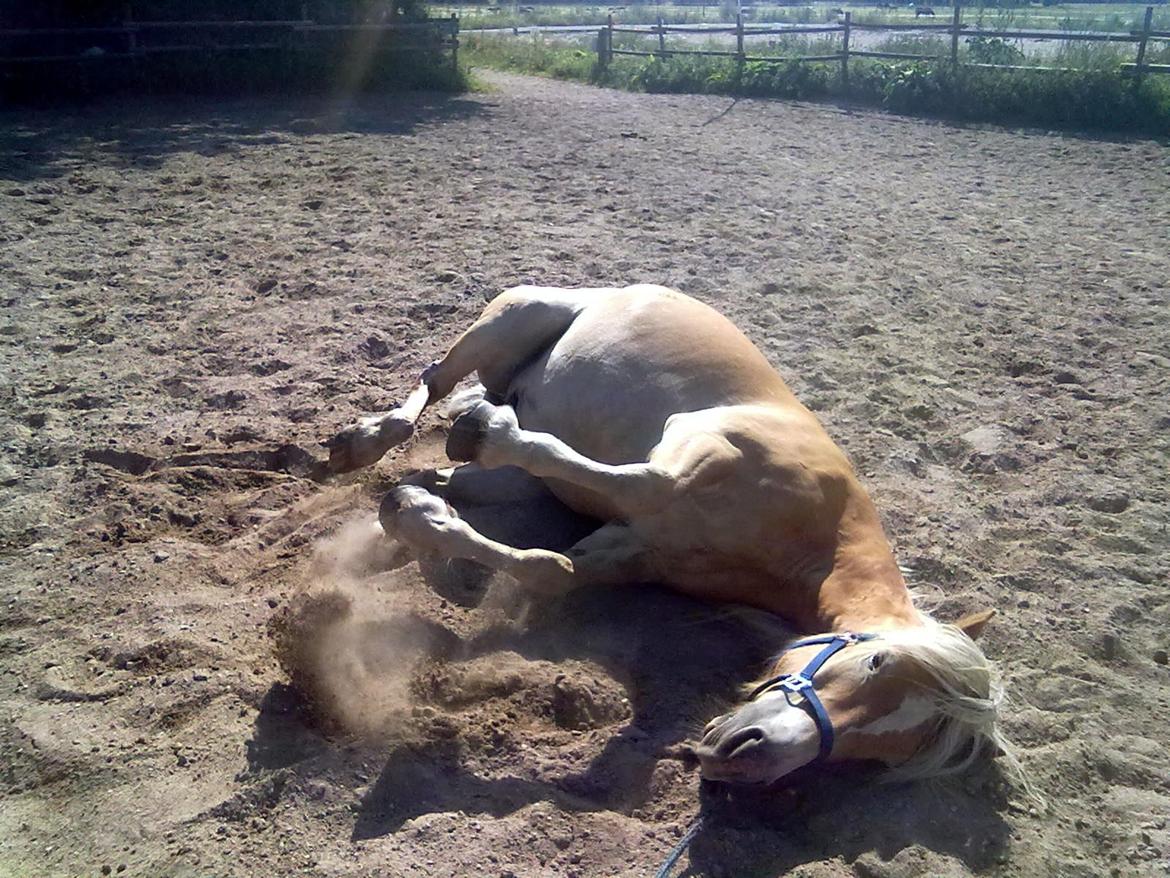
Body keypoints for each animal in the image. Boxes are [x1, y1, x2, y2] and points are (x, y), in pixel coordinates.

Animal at [325, 285, 1010, 786]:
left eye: (883, 756)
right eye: (875, 662)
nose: (750, 759)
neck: (813, 538)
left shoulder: (628, 545)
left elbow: (554, 569)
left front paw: (417, 517)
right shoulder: (683, 457)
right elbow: (578, 461)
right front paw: (485, 435)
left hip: (526, 479)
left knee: (451, 466)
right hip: (510, 322)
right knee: (435, 383)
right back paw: (371, 439)